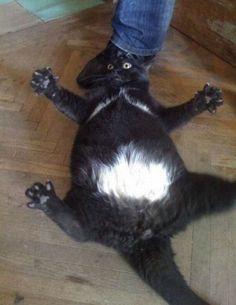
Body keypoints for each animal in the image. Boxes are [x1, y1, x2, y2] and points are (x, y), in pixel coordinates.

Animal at [25, 55, 236, 304]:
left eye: (127, 65)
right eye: (108, 65)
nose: (117, 68)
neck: (121, 91)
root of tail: (143, 232)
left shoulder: (161, 115)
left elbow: (183, 112)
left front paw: (206, 98)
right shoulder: (86, 109)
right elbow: (64, 99)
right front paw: (46, 84)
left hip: (195, 189)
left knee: (81, 232)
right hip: (88, 199)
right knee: (80, 230)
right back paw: (45, 199)